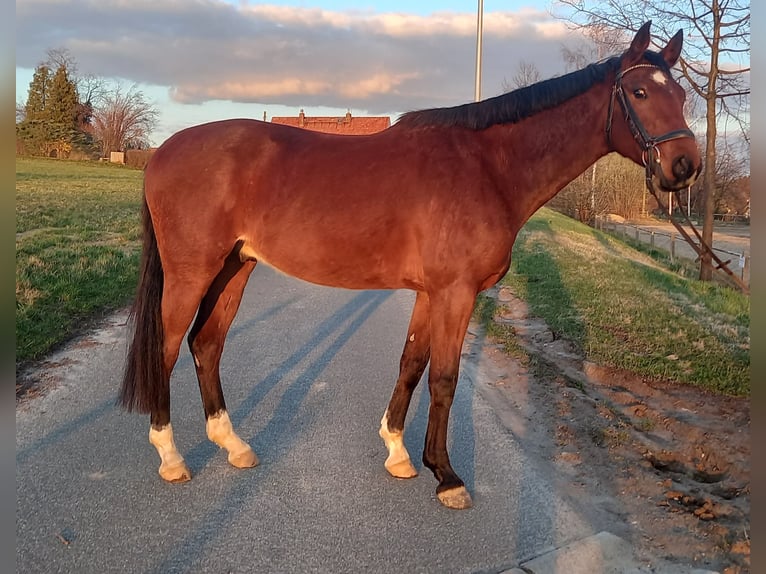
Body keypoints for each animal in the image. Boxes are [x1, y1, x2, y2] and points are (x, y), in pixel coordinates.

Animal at [120, 21, 700, 509]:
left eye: (680, 94)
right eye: (641, 92)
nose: (685, 166)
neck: (487, 168)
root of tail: (163, 151)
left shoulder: (430, 292)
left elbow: (412, 364)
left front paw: (399, 454)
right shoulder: (456, 293)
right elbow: (444, 377)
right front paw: (447, 477)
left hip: (234, 269)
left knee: (206, 344)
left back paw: (234, 445)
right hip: (192, 273)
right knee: (166, 349)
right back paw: (171, 458)